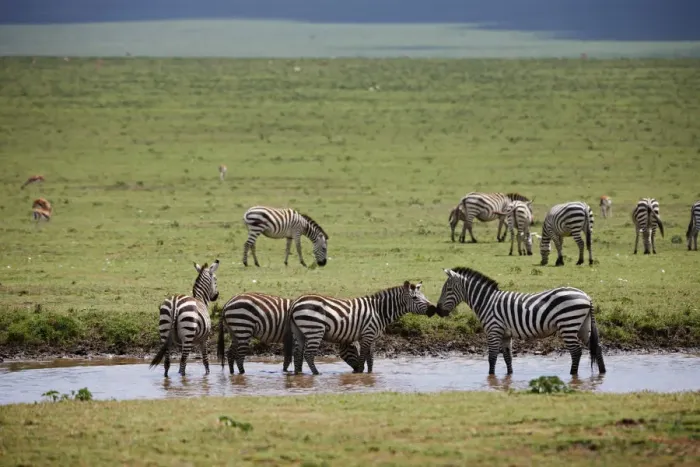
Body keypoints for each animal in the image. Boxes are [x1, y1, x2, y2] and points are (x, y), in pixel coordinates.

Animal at [216, 292, 362, 374]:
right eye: (353, 349)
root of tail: (227, 303)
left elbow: (291, 358)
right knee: (238, 355)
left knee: (230, 353)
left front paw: (290, 372)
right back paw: (242, 373)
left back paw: (232, 373)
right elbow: (292, 356)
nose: (357, 370)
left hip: (235, 331)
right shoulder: (294, 337)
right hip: (243, 327)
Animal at [287, 281, 437, 375]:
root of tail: (296, 302)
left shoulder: (372, 338)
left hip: (299, 331)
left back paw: (298, 374)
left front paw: (370, 375)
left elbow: (370, 360)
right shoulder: (367, 334)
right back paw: (317, 374)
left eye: (424, 296)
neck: (379, 311)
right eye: (415, 298)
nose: (433, 309)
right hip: (315, 330)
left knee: (298, 353)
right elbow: (363, 357)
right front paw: (359, 373)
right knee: (308, 354)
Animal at [434, 267, 606, 376]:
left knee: (576, 352)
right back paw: (602, 373)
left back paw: (573, 375)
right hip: (582, 326)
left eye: (447, 289)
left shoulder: (493, 330)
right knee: (596, 347)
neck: (487, 302)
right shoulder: (505, 334)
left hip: (568, 324)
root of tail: (587, 297)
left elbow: (492, 357)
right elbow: (507, 357)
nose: (438, 311)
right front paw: (509, 376)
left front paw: (490, 376)